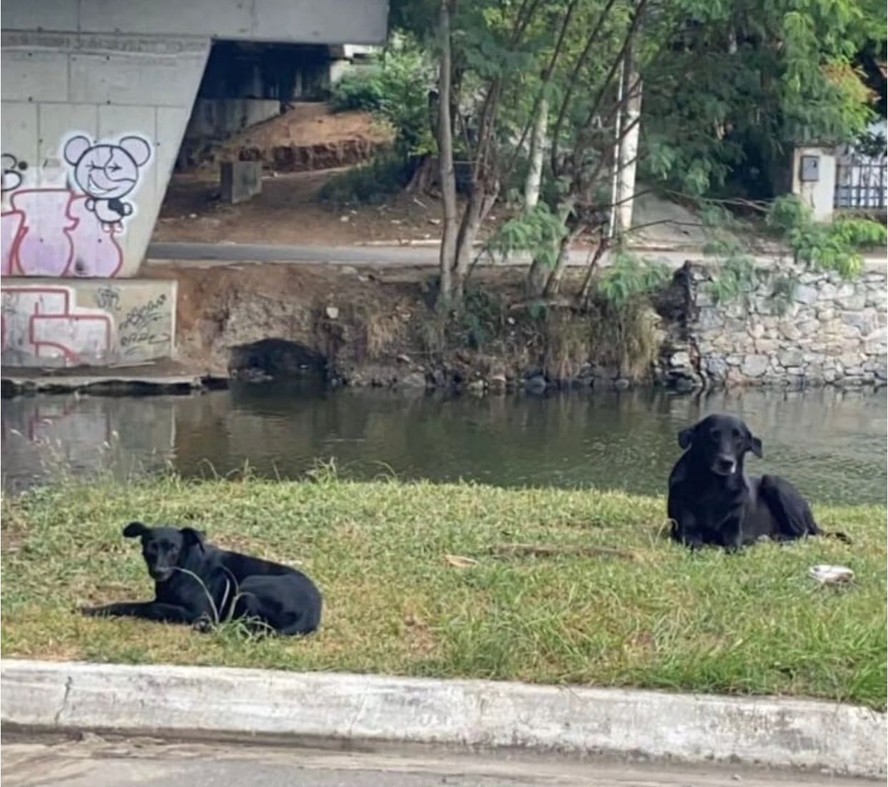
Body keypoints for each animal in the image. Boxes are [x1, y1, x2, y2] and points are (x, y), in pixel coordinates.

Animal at [81, 520, 324, 636]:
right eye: (150, 548)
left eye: (174, 548)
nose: (159, 571)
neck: (185, 568)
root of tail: (311, 614)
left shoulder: (201, 611)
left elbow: (145, 606)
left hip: (249, 584)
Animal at [668, 416, 848, 552]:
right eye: (713, 435)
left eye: (739, 437)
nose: (726, 462)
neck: (714, 487)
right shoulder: (685, 530)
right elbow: (696, 544)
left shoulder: (734, 533)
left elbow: (733, 547)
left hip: (773, 481)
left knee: (802, 533)